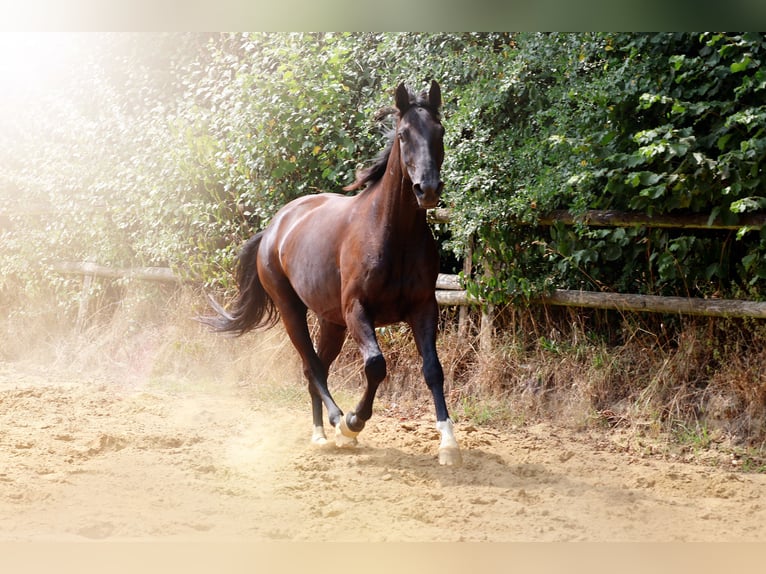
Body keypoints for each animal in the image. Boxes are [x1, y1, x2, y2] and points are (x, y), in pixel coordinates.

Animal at [203, 80, 462, 466]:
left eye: (439, 131)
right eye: (403, 134)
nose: (427, 189)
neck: (390, 234)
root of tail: (274, 228)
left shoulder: (423, 308)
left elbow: (433, 369)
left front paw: (448, 443)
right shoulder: (357, 310)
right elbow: (375, 365)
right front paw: (354, 421)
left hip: (331, 322)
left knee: (319, 367)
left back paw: (322, 433)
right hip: (292, 311)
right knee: (311, 367)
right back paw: (335, 426)